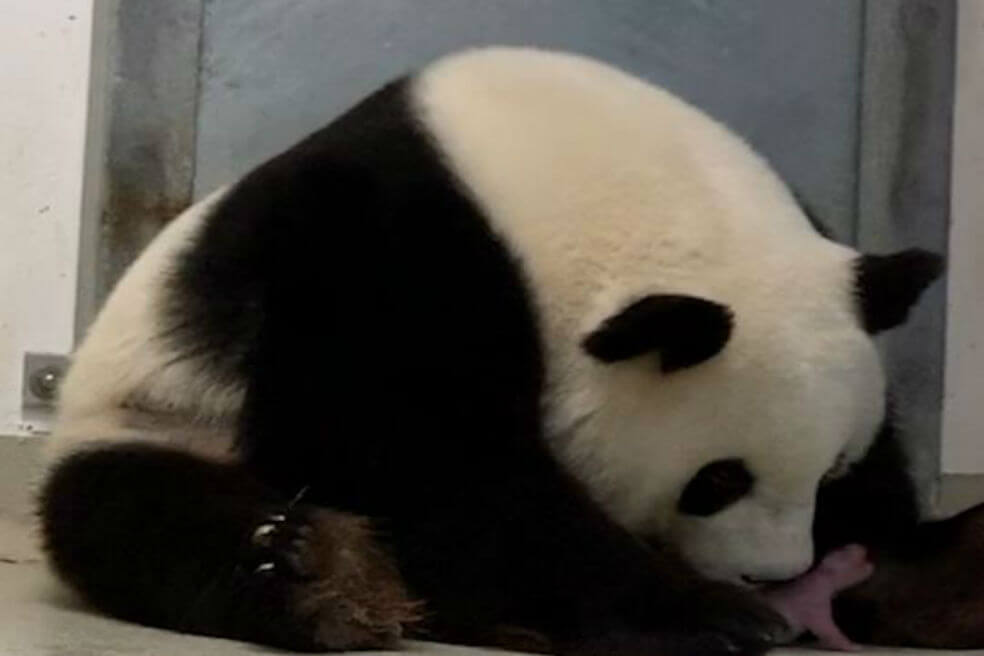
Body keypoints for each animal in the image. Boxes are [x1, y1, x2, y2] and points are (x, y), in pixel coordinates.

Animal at [38, 47, 977, 655]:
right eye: (717, 479)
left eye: (831, 471)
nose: (774, 575)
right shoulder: (382, 250)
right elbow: (416, 451)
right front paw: (703, 614)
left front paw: (919, 576)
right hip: (153, 411)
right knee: (140, 511)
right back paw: (321, 574)